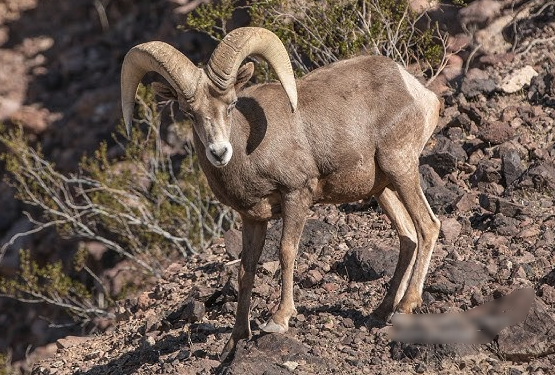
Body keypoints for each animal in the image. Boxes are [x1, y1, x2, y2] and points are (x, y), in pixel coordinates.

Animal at [119, 25, 440, 358]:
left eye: (231, 104)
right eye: (189, 113)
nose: (219, 152)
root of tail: (419, 93)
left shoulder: (296, 194)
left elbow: (286, 251)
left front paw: (278, 319)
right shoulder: (252, 219)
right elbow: (245, 271)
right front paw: (234, 341)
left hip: (400, 168)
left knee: (427, 226)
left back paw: (405, 307)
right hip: (383, 189)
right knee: (408, 236)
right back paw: (381, 312)